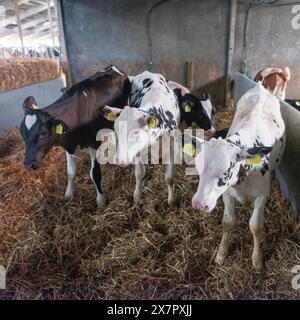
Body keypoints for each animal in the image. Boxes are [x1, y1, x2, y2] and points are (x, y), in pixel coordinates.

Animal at [19, 65, 130, 208]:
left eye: (43, 133)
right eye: (22, 133)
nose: (28, 164)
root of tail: (112, 67)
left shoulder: (93, 144)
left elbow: (95, 174)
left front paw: (100, 201)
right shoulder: (68, 144)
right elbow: (70, 171)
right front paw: (68, 194)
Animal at [191, 84, 284, 268]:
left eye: (226, 172)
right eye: (198, 169)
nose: (199, 204)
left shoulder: (262, 195)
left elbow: (255, 226)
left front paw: (257, 259)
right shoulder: (227, 192)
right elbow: (227, 222)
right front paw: (221, 253)